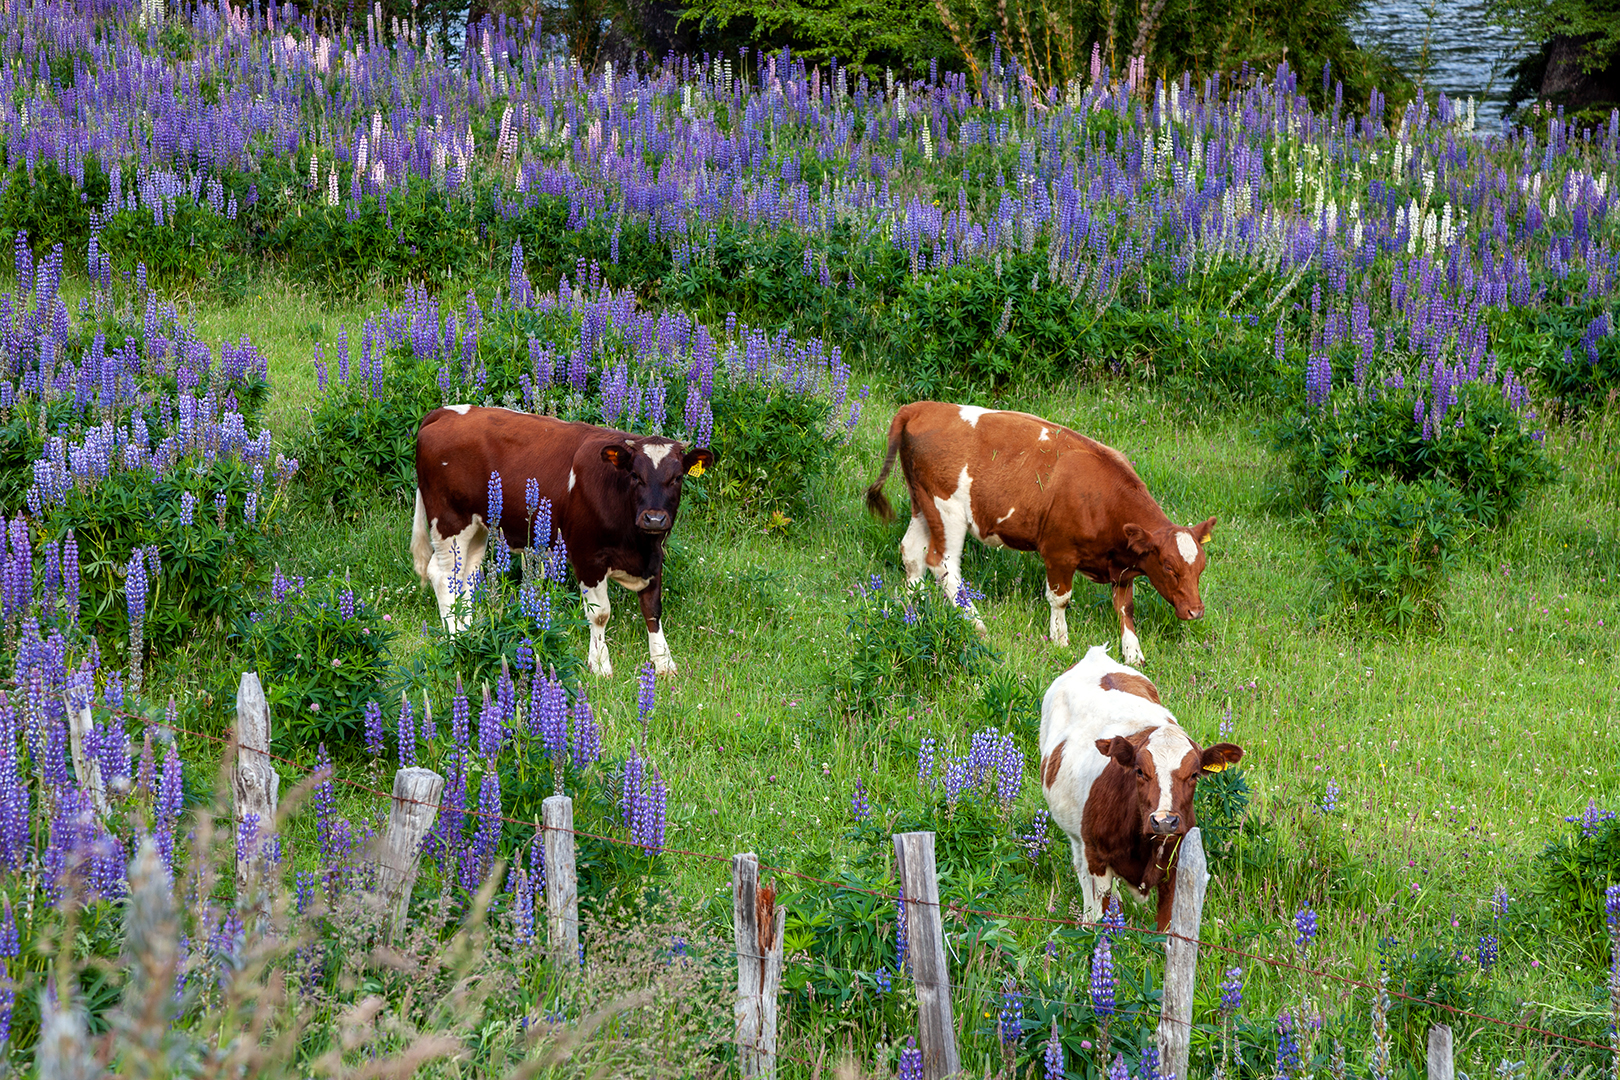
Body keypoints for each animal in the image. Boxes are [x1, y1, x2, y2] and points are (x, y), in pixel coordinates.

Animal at [408, 404, 712, 676]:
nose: (654, 518)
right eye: (635, 475)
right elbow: (600, 614)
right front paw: (600, 665)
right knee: (443, 574)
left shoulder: (654, 555)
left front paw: (664, 663)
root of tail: (444, 412)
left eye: (677, 478)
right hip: (450, 520)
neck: (637, 544)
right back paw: (455, 636)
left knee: (466, 576)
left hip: (479, 524)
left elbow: (652, 609)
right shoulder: (588, 556)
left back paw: (469, 631)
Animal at [868, 401, 1211, 663]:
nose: (1196, 611)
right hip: (947, 511)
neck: (1104, 499)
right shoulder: (1059, 551)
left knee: (911, 552)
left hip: (922, 503)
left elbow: (1125, 608)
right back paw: (975, 621)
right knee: (942, 563)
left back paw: (913, 606)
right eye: (1168, 567)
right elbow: (1060, 599)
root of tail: (920, 407)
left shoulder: (1122, 565)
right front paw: (1060, 639)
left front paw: (1133, 654)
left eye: (1200, 567)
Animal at [1036, 647, 1237, 932]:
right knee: (1082, 871)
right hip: (1077, 836)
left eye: (1194, 774)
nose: (1164, 821)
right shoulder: (1097, 859)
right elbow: (1102, 915)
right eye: (1140, 771)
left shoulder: (1177, 866)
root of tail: (1096, 654)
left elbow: (1167, 929)